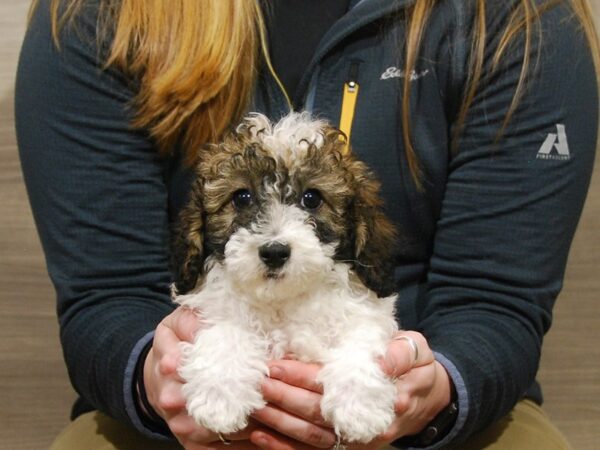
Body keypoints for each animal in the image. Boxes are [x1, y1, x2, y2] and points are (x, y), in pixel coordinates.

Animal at [171, 112, 400, 442]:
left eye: (311, 198)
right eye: (242, 197)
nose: (275, 252)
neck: (282, 299)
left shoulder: (365, 313)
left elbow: (358, 340)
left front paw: (359, 408)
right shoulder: (214, 308)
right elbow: (226, 329)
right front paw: (219, 398)